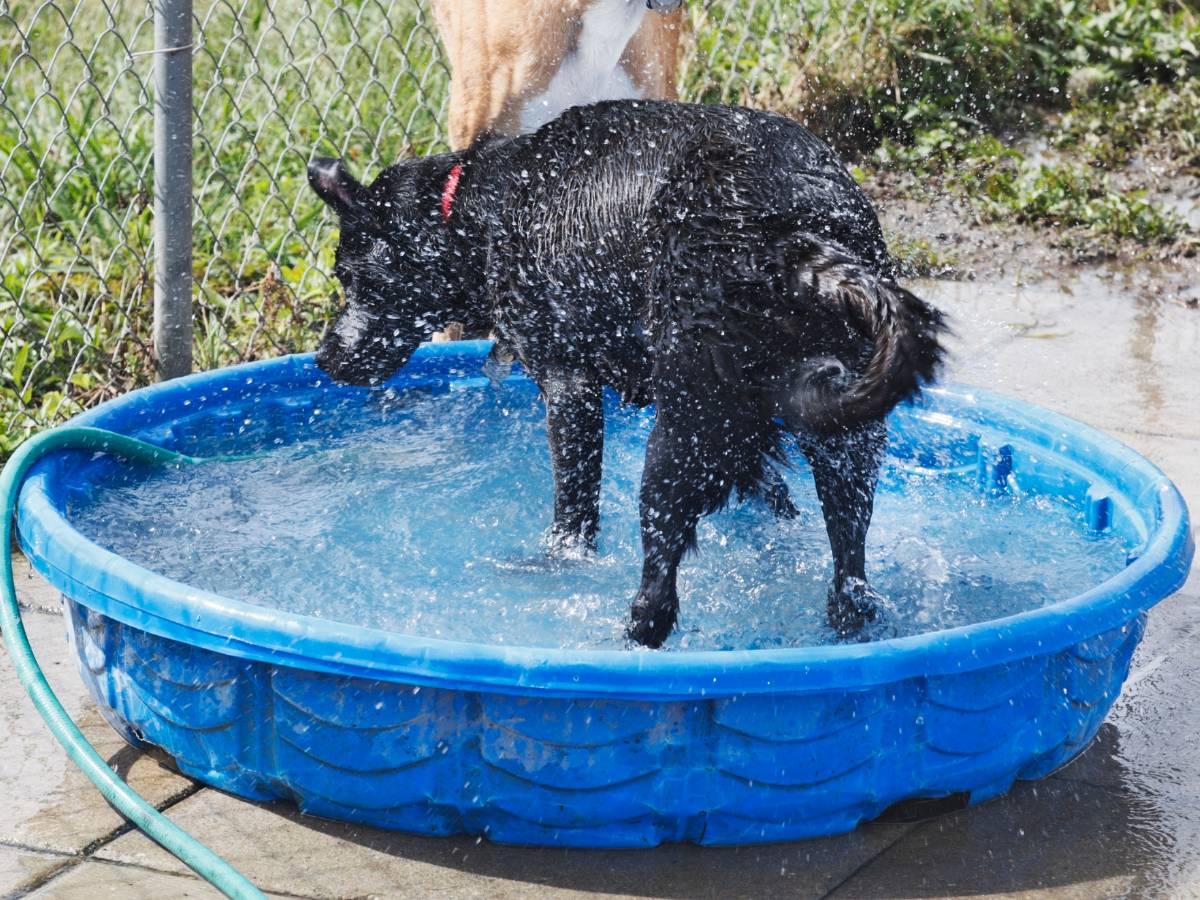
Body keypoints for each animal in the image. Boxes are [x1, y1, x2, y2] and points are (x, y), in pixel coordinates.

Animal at [307, 98, 945, 648]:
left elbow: (573, 508)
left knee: (658, 594)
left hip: (681, 434)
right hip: (844, 440)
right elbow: (771, 489)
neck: (476, 207)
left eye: (349, 277)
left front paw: (557, 561)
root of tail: (793, 242)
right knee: (850, 578)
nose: (325, 359)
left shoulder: (569, 386)